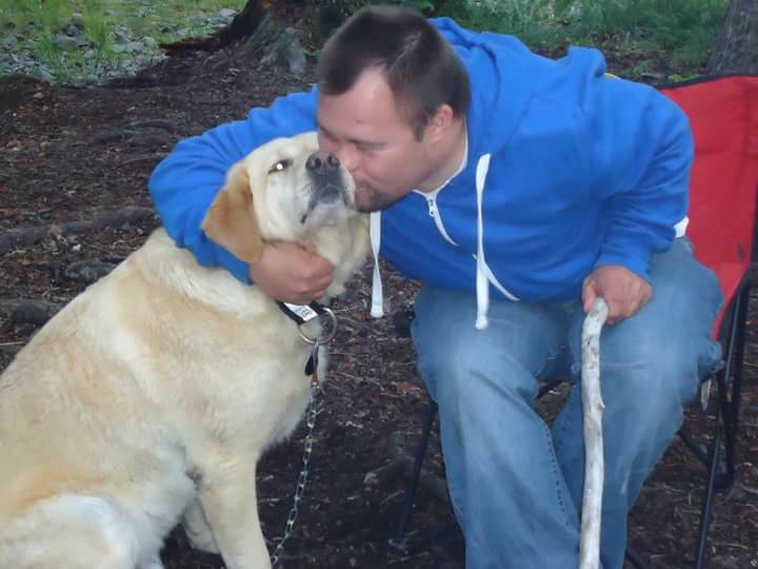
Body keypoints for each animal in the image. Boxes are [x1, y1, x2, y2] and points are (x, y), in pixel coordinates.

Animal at [0, 131, 372, 564]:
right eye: (278, 166)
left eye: (332, 146)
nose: (326, 161)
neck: (259, 291)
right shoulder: (227, 467)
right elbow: (252, 553)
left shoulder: (201, 468)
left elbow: (197, 510)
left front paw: (204, 538)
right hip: (101, 521)